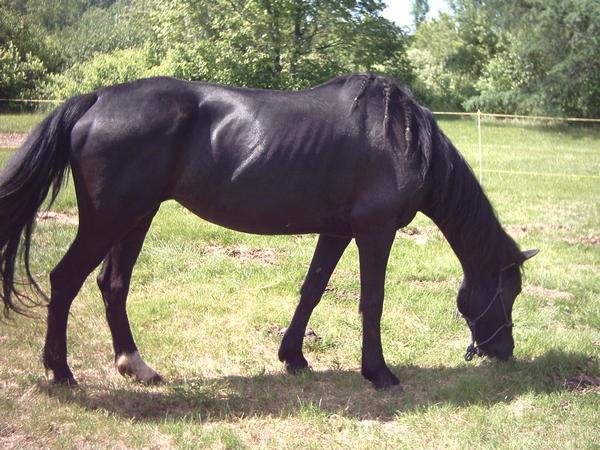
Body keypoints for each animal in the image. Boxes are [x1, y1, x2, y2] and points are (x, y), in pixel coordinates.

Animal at [0, 73, 536, 386]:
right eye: (507, 291)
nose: (503, 352)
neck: (399, 137)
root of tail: (96, 98)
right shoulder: (375, 232)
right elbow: (372, 300)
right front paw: (379, 373)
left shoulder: (337, 231)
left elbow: (313, 289)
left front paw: (293, 357)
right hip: (108, 220)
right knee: (64, 281)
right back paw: (61, 372)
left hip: (136, 218)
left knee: (112, 285)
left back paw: (136, 367)